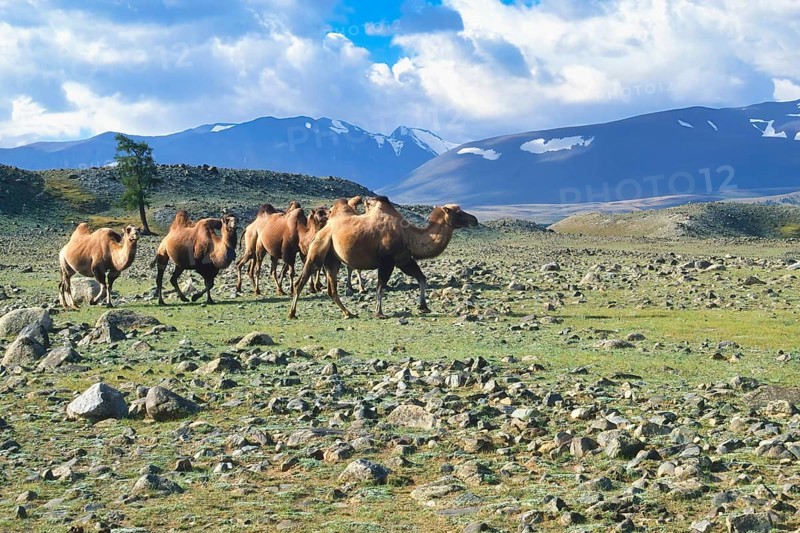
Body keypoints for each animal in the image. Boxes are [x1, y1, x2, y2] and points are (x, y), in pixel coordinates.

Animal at [288, 195, 478, 319]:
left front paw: (424, 307)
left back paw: (348, 313)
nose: (475, 220)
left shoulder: (403, 259)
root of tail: (325, 227)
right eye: (458, 212)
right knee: (301, 280)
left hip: (332, 259)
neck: (408, 235)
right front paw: (379, 313)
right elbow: (381, 287)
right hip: (317, 249)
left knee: (332, 289)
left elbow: (422, 278)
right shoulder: (387, 261)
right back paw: (292, 313)